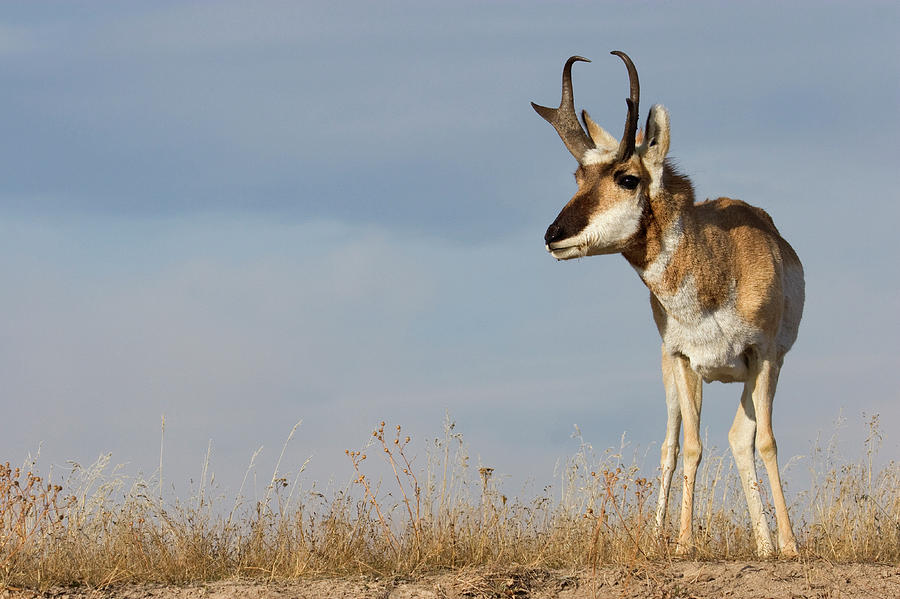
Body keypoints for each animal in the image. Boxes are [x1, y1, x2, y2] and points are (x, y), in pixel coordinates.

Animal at [532, 51, 804, 556]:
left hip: (754, 372)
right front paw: (681, 544)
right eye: (579, 176)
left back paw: (766, 546)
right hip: (671, 374)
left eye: (627, 178)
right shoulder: (682, 359)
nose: (553, 235)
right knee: (673, 444)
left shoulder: (764, 357)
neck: (719, 263)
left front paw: (790, 547)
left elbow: (766, 443)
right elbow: (691, 446)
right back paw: (664, 537)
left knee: (742, 438)